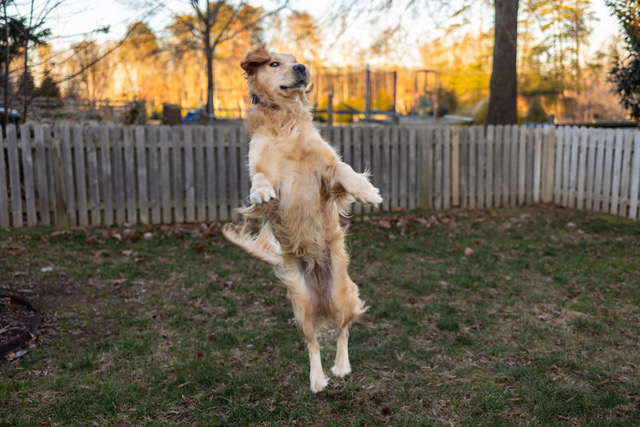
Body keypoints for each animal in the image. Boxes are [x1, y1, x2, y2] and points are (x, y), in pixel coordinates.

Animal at [223, 47, 382, 393]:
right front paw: (261, 193)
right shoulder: (264, 170)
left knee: (343, 330)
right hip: (301, 307)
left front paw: (365, 190)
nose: (302, 67)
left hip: (341, 294)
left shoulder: (327, 173)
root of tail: (322, 297)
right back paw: (317, 379)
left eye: (295, 58)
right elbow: (260, 180)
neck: (284, 121)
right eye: (274, 62)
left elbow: (344, 169)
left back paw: (341, 366)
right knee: (313, 344)